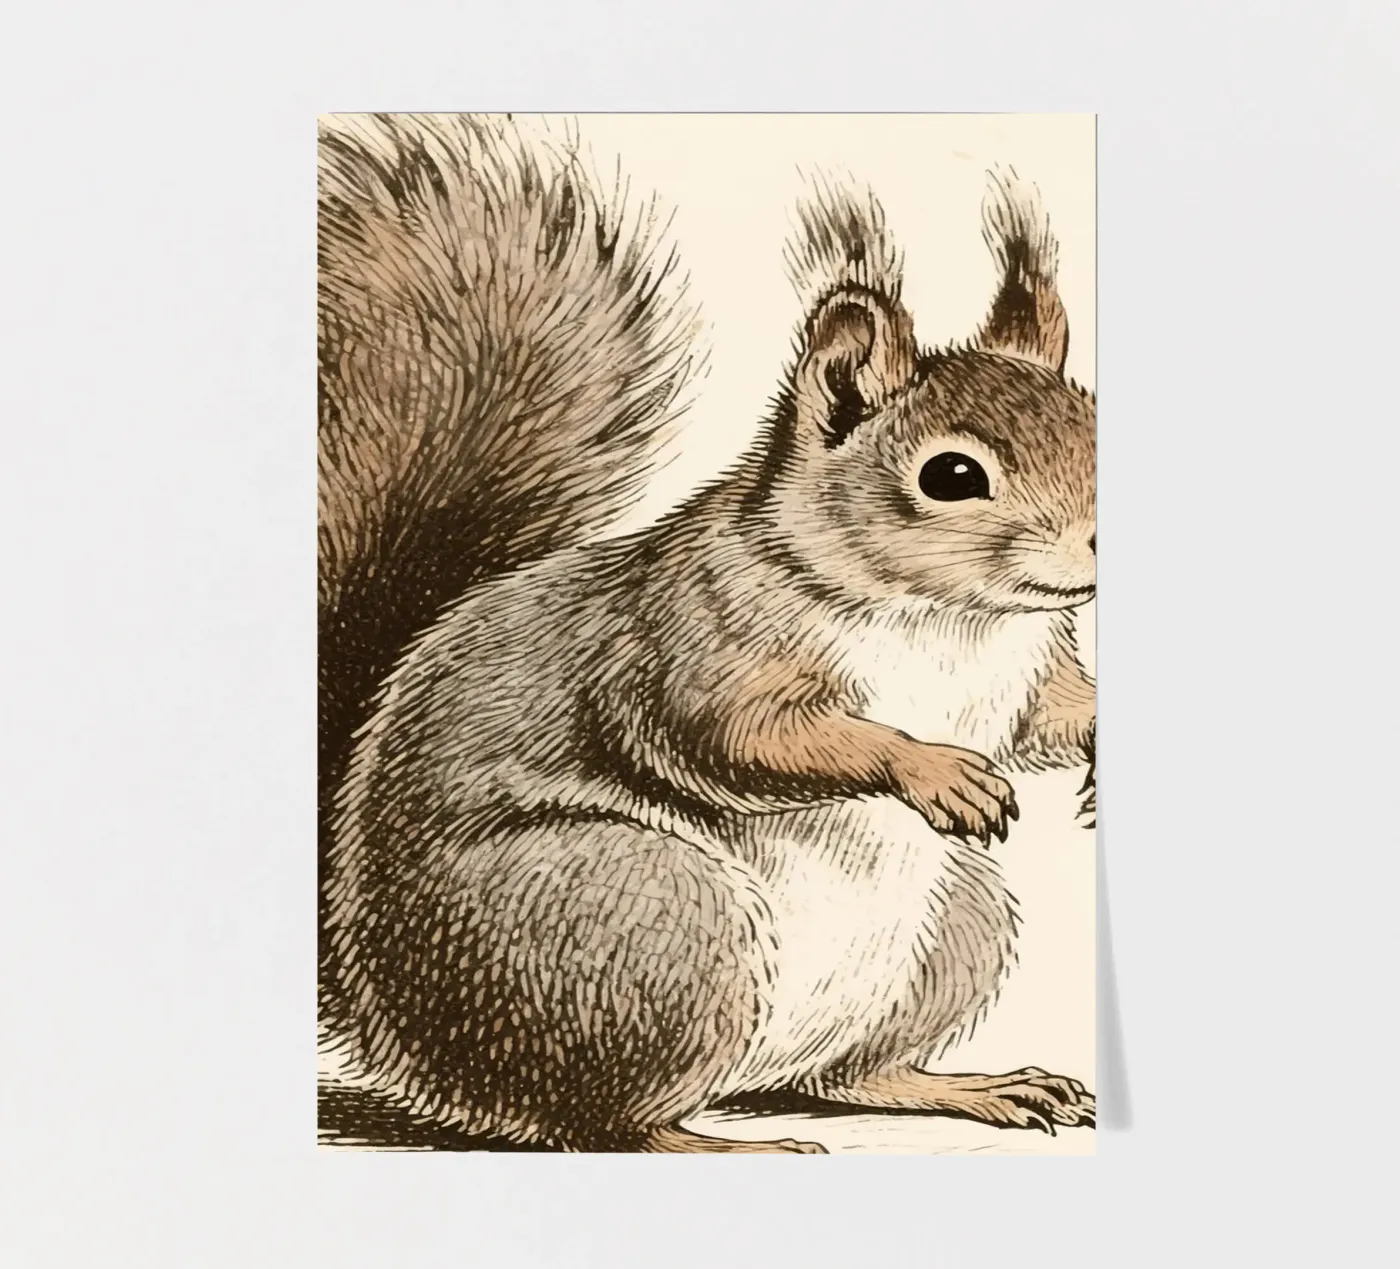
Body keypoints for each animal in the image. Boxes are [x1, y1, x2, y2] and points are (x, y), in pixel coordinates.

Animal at [318, 113, 1098, 1154]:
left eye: (1094, 424)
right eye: (952, 475)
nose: (1100, 540)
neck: (949, 618)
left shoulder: (1033, 668)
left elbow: (1051, 718)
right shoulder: (693, 639)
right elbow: (740, 735)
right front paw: (932, 767)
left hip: (959, 919)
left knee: (843, 1074)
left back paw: (980, 1085)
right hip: (648, 921)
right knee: (601, 1124)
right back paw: (728, 1140)